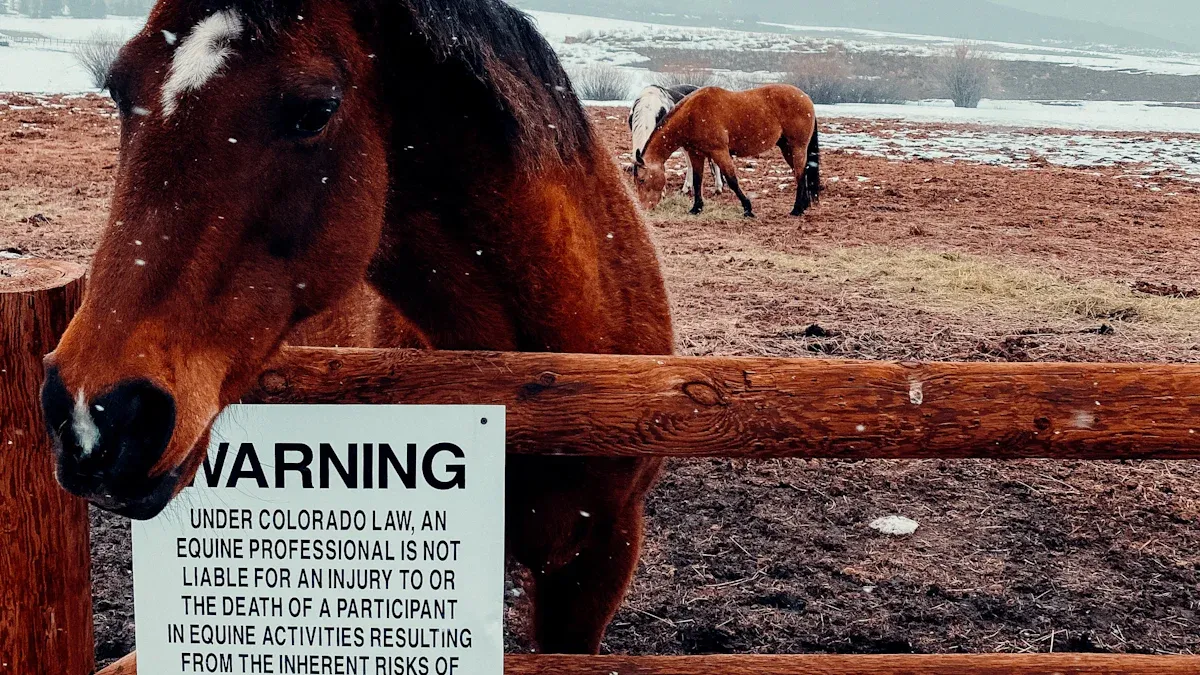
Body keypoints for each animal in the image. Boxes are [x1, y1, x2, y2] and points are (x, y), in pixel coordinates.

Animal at [634, 84, 821, 219]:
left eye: (642, 180)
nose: (644, 208)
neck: (692, 115)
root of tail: (806, 97)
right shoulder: (696, 154)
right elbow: (697, 180)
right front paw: (696, 208)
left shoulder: (720, 152)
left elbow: (732, 180)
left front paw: (747, 208)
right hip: (787, 148)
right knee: (801, 173)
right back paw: (803, 206)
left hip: (797, 147)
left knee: (799, 174)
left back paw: (796, 210)